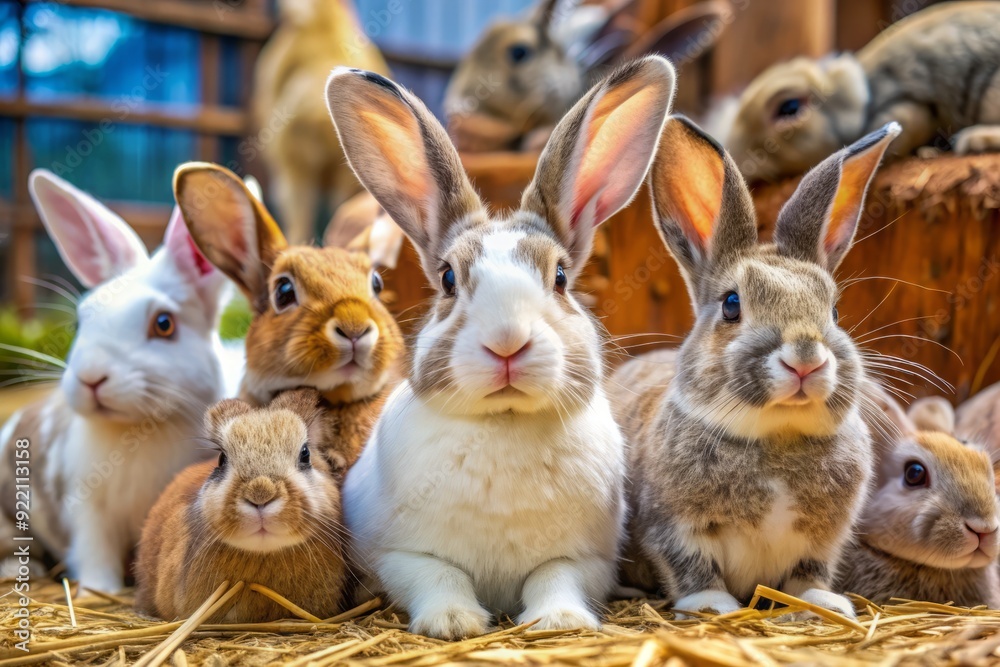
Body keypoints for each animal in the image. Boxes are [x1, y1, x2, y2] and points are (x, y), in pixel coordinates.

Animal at [0, 170, 229, 593]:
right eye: (81, 319)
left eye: (164, 324)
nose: (91, 377)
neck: (138, 430)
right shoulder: (88, 511)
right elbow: (95, 555)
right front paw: (101, 590)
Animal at [325, 56, 676, 639]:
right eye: (448, 278)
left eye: (560, 277)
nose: (507, 343)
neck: (504, 423)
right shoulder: (397, 554)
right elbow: (439, 575)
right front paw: (453, 623)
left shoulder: (584, 560)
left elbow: (553, 578)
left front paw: (559, 621)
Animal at [610, 117, 902, 619]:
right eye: (731, 305)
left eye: (835, 311)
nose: (805, 358)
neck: (777, 437)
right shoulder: (672, 528)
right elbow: (693, 569)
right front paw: (712, 607)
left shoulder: (823, 541)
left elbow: (808, 574)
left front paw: (823, 603)